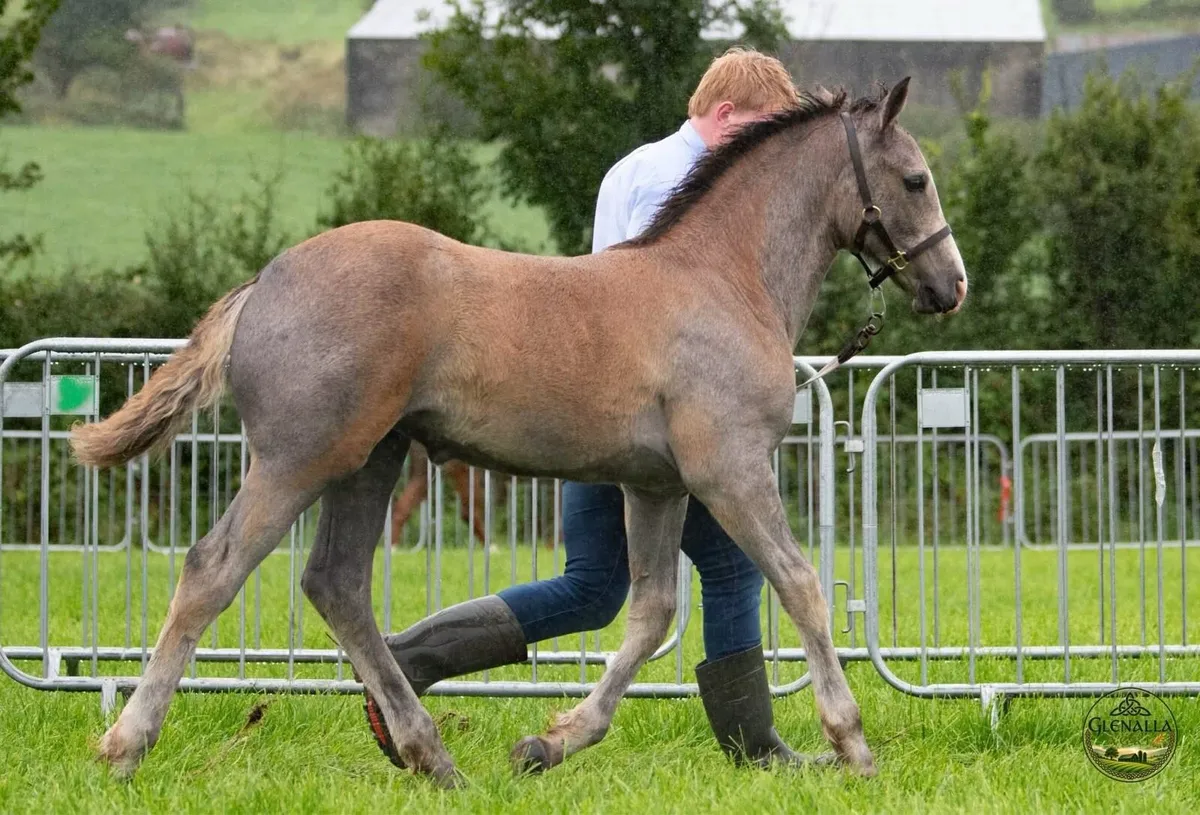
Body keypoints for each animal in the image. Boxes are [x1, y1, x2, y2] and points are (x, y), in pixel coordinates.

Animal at [68, 79, 965, 786]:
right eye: (915, 178)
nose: (950, 285)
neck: (722, 277)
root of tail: (263, 282)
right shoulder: (731, 470)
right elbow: (800, 585)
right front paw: (853, 744)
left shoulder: (657, 485)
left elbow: (651, 613)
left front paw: (552, 739)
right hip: (300, 458)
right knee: (213, 570)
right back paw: (126, 745)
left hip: (370, 460)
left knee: (337, 584)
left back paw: (430, 754)